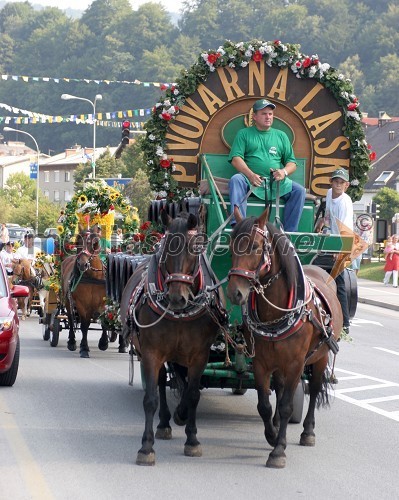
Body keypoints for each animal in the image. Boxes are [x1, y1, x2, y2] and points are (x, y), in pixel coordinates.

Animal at [61, 229, 126, 358]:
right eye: (78, 242)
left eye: (94, 243)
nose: (82, 264)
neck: (93, 277)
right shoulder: (82, 304)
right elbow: (84, 325)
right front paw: (84, 348)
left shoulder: (104, 303)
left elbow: (104, 322)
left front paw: (103, 343)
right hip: (67, 301)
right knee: (70, 319)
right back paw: (72, 342)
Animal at [121, 211, 228, 464]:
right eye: (165, 249)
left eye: (195, 249)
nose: (177, 298)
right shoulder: (152, 353)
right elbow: (151, 398)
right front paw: (146, 447)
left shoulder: (200, 355)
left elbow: (193, 394)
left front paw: (192, 438)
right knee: (161, 382)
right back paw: (164, 423)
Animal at [227, 208, 342, 468]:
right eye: (229, 246)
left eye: (255, 246)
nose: (234, 293)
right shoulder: (260, 362)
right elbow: (264, 404)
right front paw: (272, 435)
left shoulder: (296, 364)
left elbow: (289, 405)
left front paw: (278, 450)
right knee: (278, 389)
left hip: (319, 358)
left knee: (315, 388)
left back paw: (308, 432)